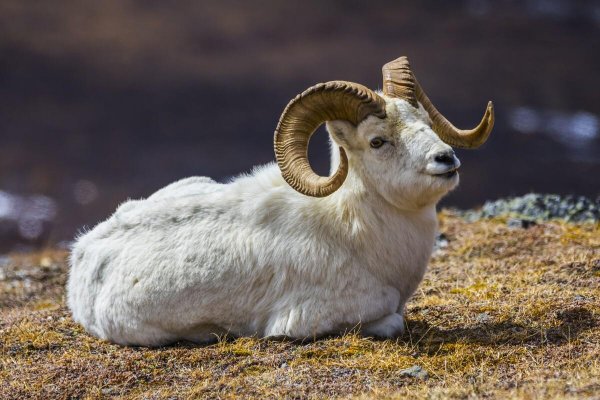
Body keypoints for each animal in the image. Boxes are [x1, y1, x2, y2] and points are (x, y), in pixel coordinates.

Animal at [68, 57, 494, 346]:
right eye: (377, 141)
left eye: (425, 121)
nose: (445, 159)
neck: (354, 235)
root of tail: (84, 252)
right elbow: (393, 320)